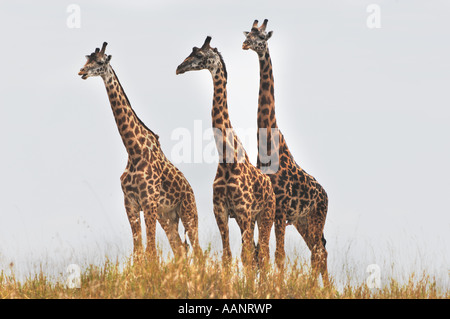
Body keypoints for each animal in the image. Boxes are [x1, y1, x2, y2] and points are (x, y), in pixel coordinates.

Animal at [78, 42, 200, 260]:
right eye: (86, 60)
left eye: (99, 62)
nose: (81, 72)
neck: (133, 150)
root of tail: (191, 189)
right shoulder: (131, 203)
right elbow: (138, 252)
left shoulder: (149, 202)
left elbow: (150, 251)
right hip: (167, 217)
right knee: (180, 248)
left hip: (188, 212)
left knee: (198, 250)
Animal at [175, 37, 274, 268]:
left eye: (199, 54)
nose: (179, 68)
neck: (227, 159)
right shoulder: (221, 211)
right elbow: (227, 256)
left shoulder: (244, 210)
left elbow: (246, 256)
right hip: (251, 219)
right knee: (258, 254)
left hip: (266, 215)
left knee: (264, 255)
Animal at [243, 20, 330, 282]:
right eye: (248, 33)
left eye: (262, 37)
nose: (245, 44)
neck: (267, 147)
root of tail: (326, 196)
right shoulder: (270, 210)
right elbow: (261, 254)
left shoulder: (280, 210)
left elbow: (278, 256)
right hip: (303, 221)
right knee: (320, 251)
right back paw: (322, 287)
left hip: (316, 217)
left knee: (319, 252)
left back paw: (319, 288)